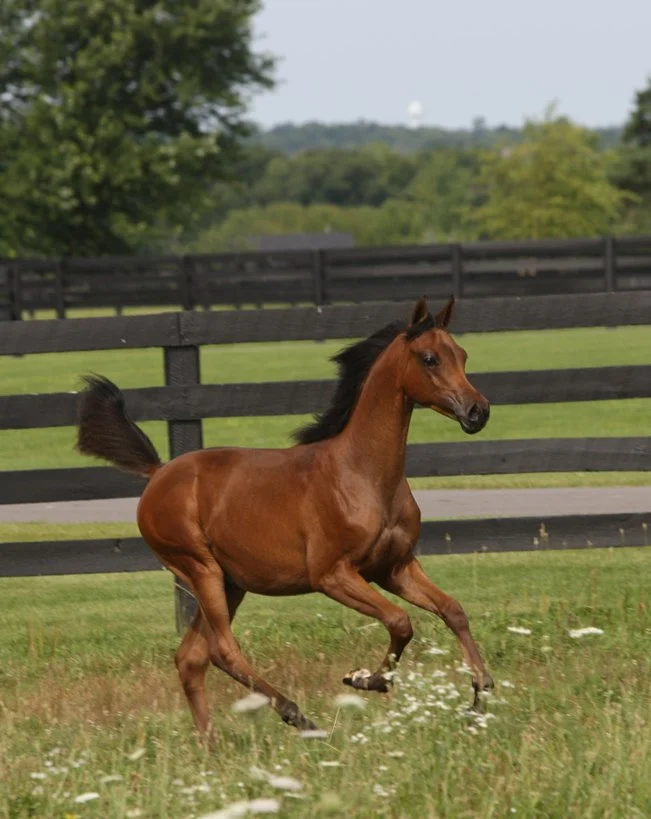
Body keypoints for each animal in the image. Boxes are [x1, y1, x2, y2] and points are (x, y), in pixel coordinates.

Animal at [77, 295, 493, 740]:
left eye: (462, 355)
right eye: (430, 358)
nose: (478, 411)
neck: (362, 472)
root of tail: (158, 473)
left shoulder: (394, 567)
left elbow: (452, 610)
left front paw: (480, 693)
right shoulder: (332, 575)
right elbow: (400, 621)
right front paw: (365, 679)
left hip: (230, 582)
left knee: (191, 657)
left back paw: (211, 745)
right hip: (199, 569)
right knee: (222, 650)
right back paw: (297, 715)